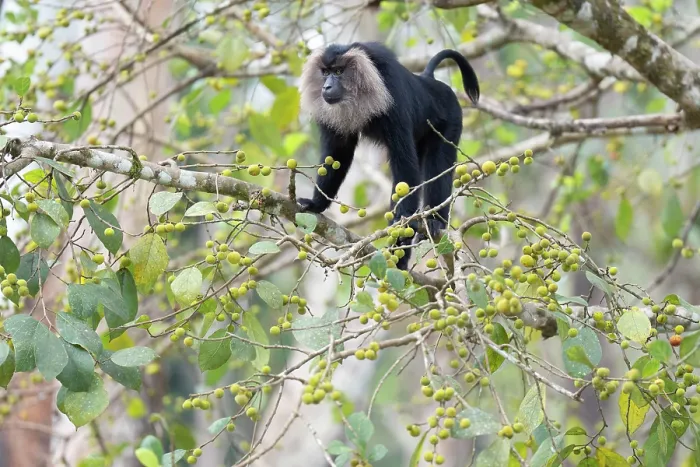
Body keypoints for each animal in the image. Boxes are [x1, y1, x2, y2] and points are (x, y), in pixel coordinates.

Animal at [298, 41, 479, 270]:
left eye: (338, 72)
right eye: (325, 72)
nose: (326, 87)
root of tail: (429, 81)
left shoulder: (393, 100)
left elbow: (404, 163)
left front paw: (405, 221)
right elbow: (338, 154)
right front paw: (316, 204)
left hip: (451, 120)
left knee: (439, 166)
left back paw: (432, 222)